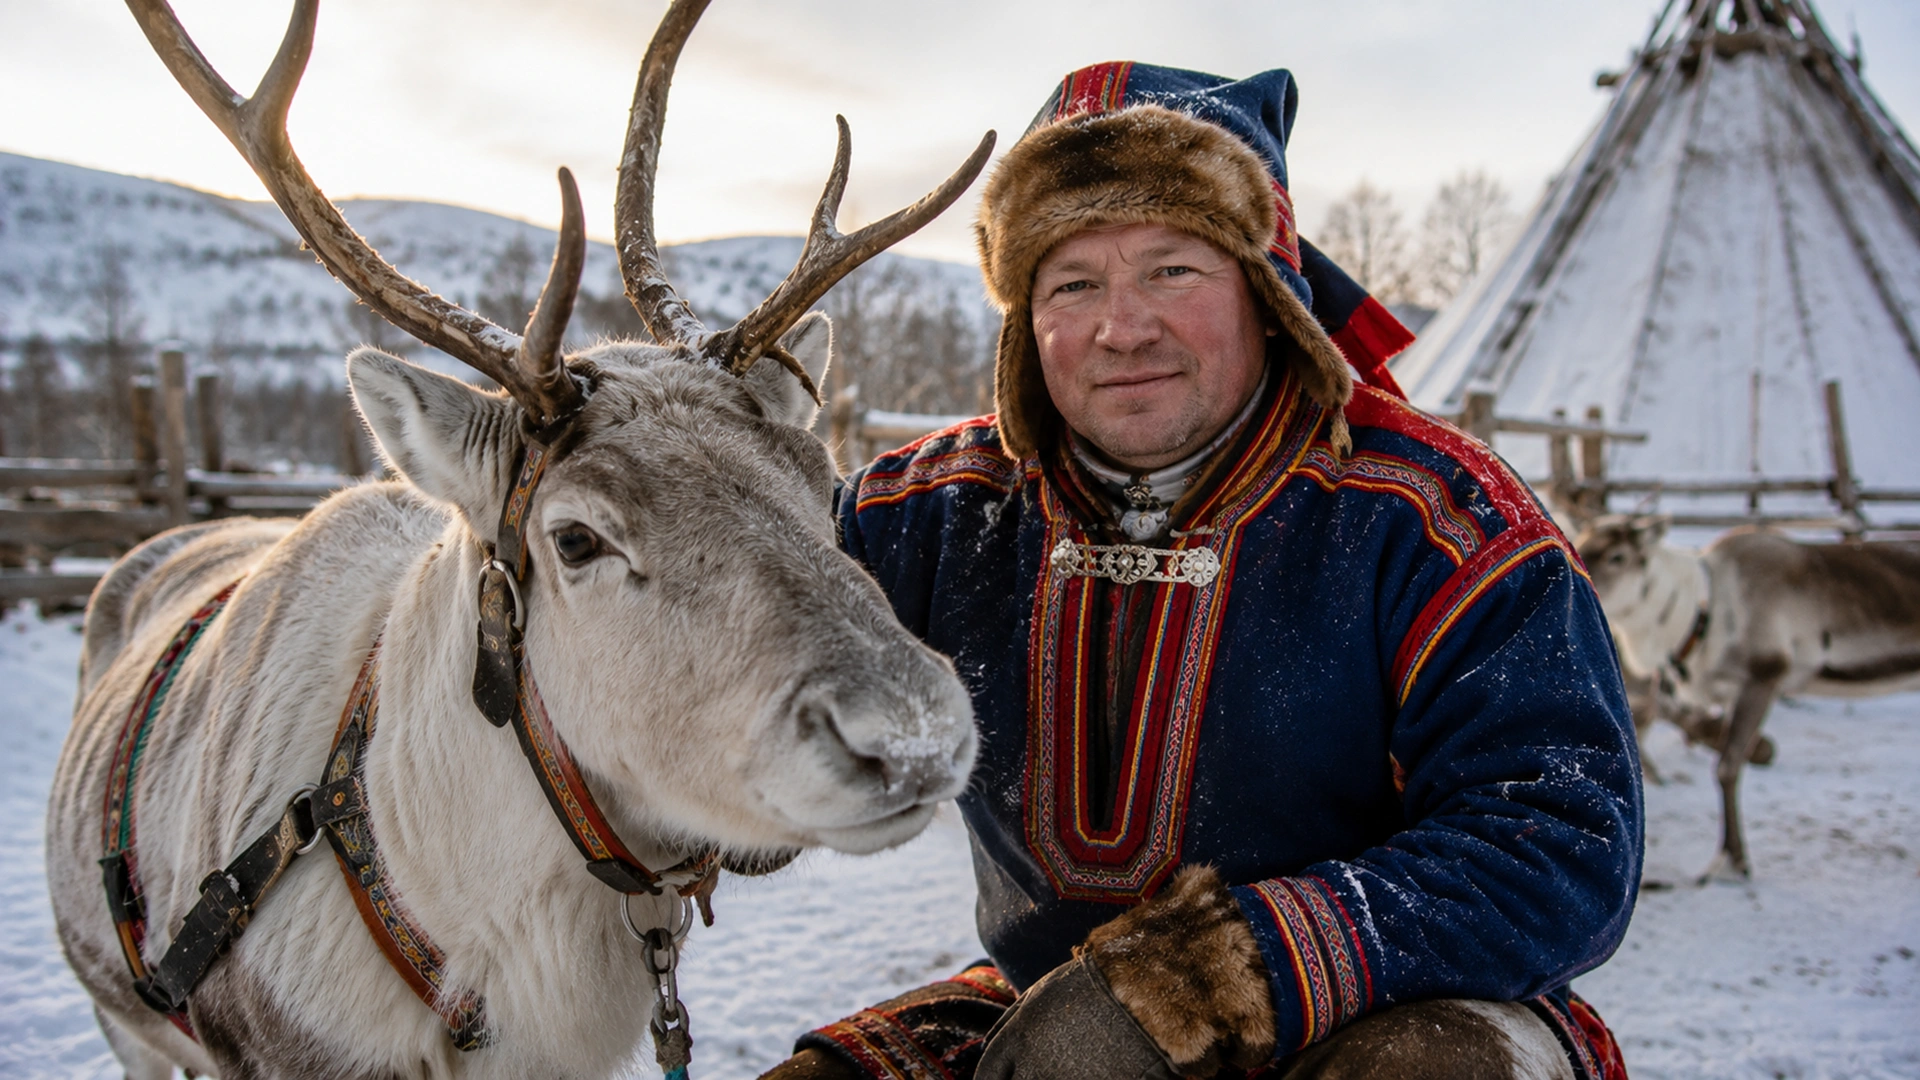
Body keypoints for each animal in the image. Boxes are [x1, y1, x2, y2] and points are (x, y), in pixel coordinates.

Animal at [1576, 515, 1920, 881]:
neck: (1698, 615)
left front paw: (1733, 859)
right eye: (1583, 541)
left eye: (1618, 556)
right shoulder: (1724, 692)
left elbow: (1727, 767)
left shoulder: (1763, 676)